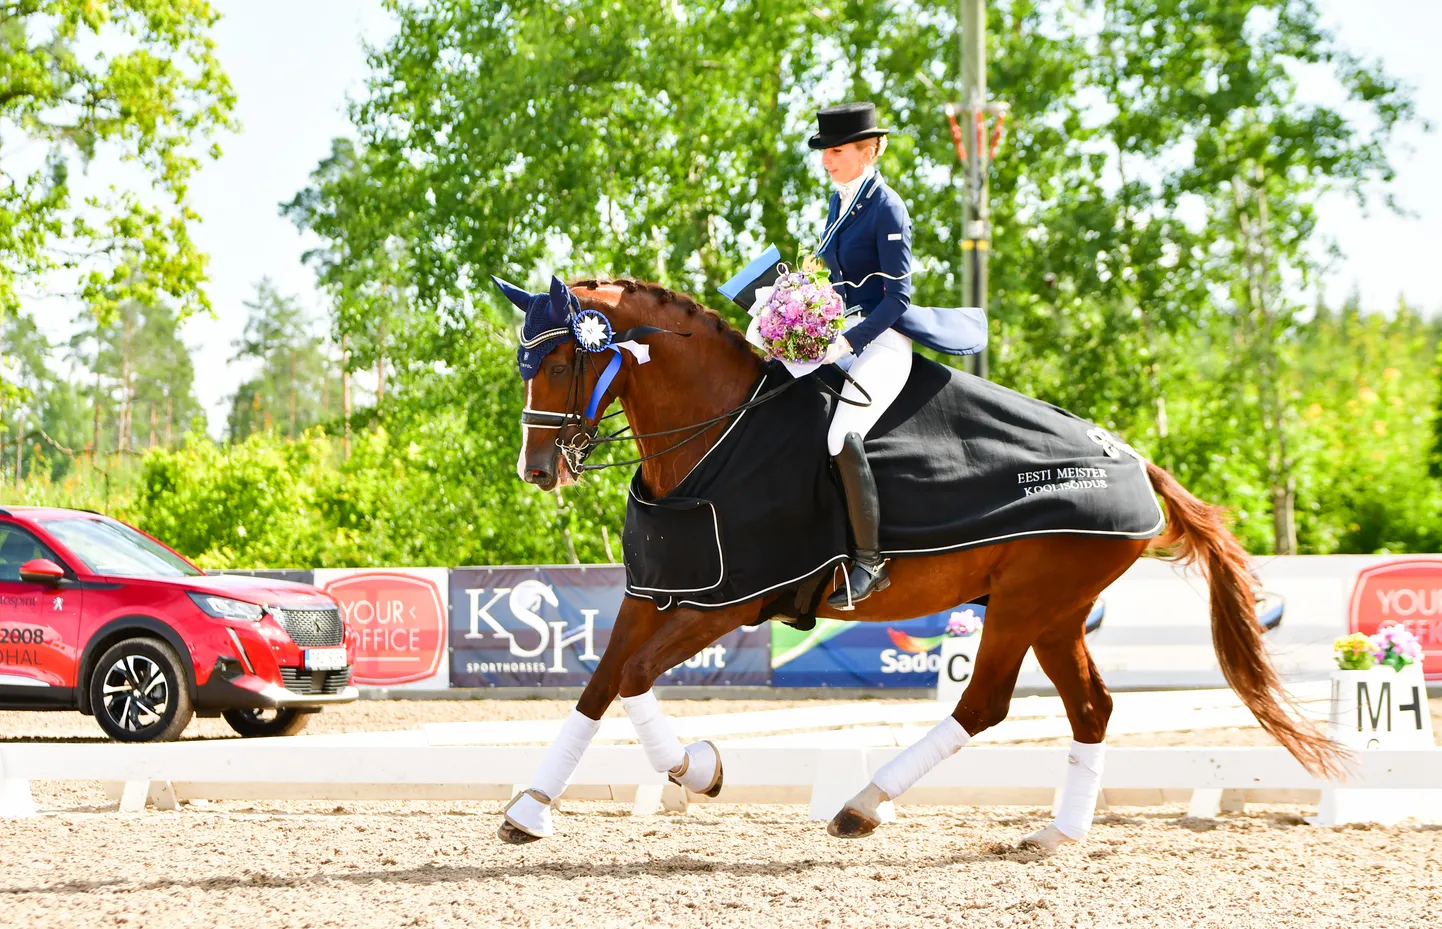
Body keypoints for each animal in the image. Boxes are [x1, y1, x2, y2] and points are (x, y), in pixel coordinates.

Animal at [496, 274, 1338, 848]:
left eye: (562, 361)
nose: (535, 470)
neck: (716, 435)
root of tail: (1132, 459)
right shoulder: (659, 590)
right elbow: (601, 683)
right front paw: (530, 808)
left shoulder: (733, 600)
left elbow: (636, 678)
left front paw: (698, 768)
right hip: (1057, 611)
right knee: (1090, 708)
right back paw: (1056, 834)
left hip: (1027, 602)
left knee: (985, 704)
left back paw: (863, 803)